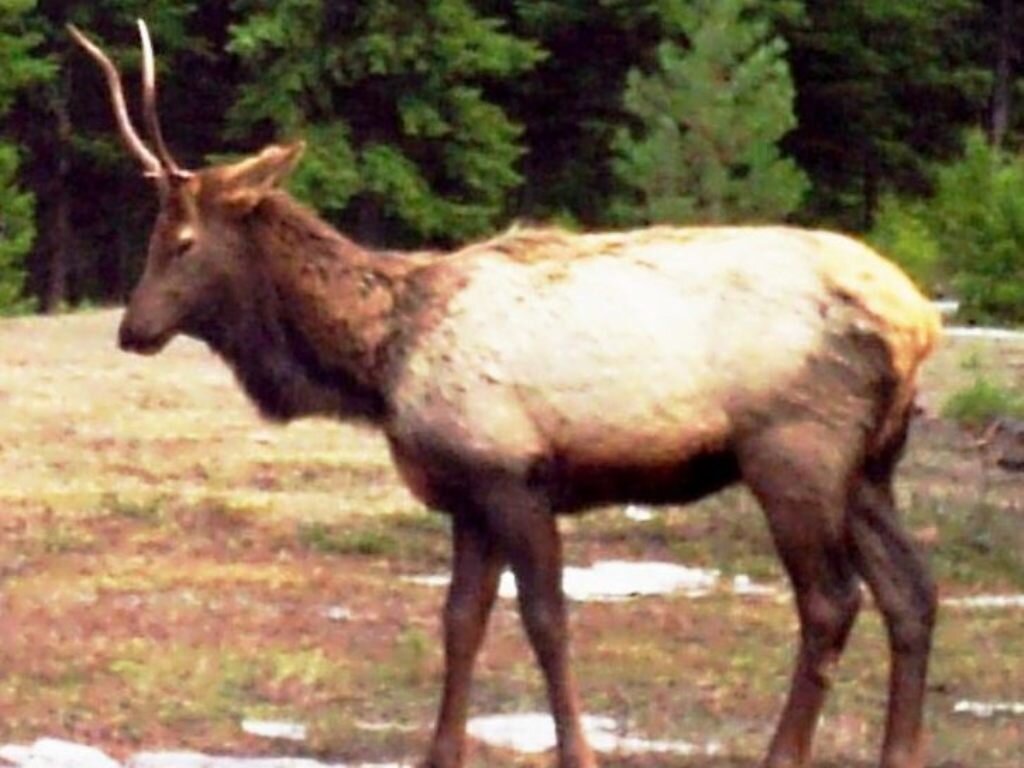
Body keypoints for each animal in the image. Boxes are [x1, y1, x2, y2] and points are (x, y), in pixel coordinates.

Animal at [72, 20, 942, 768]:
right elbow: (460, 621)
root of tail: (920, 320)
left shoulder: (512, 474)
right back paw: (899, 751)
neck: (379, 362)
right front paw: (440, 751)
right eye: (153, 237)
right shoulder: (466, 491)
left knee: (831, 601)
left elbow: (546, 621)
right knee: (913, 594)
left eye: (182, 242)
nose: (131, 328)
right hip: (869, 466)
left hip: (795, 452)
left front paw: (577, 751)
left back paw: (783, 750)